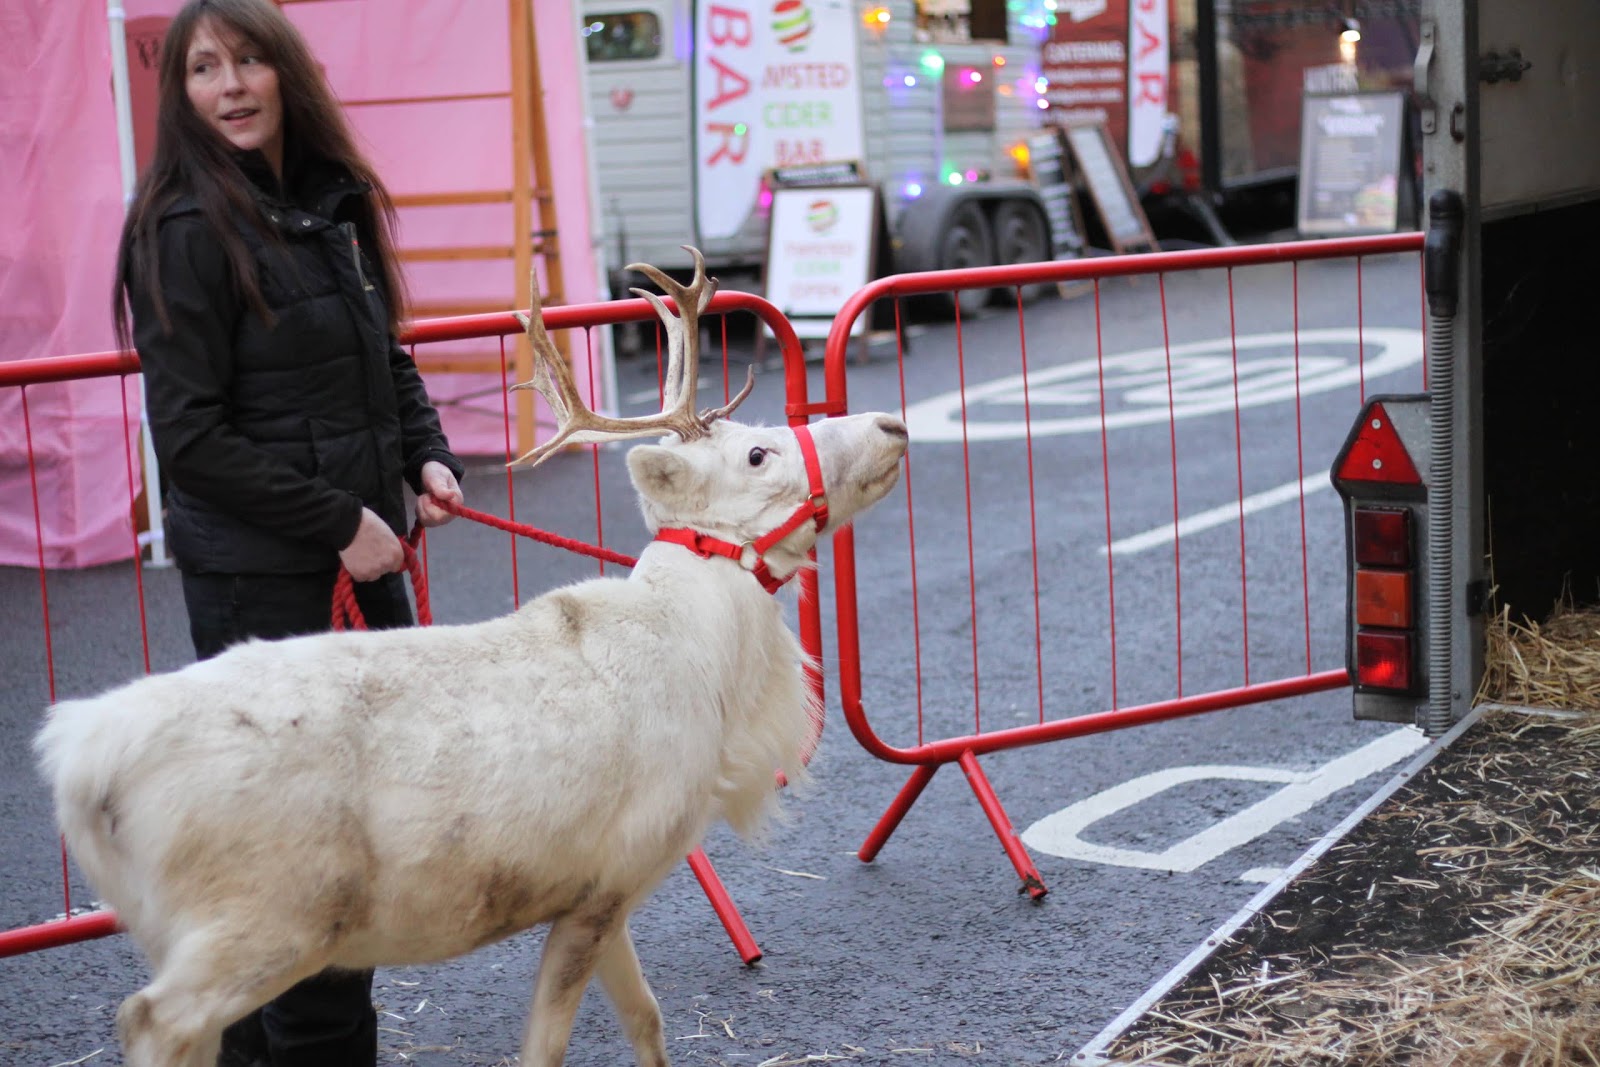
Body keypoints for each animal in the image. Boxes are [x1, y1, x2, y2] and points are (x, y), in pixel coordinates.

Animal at [34, 247, 909, 1067]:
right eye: (759, 455)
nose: (892, 427)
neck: (708, 664)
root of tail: (80, 760)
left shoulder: (598, 888)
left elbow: (647, 1017)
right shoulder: (609, 875)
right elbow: (546, 1046)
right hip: (267, 914)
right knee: (149, 1017)